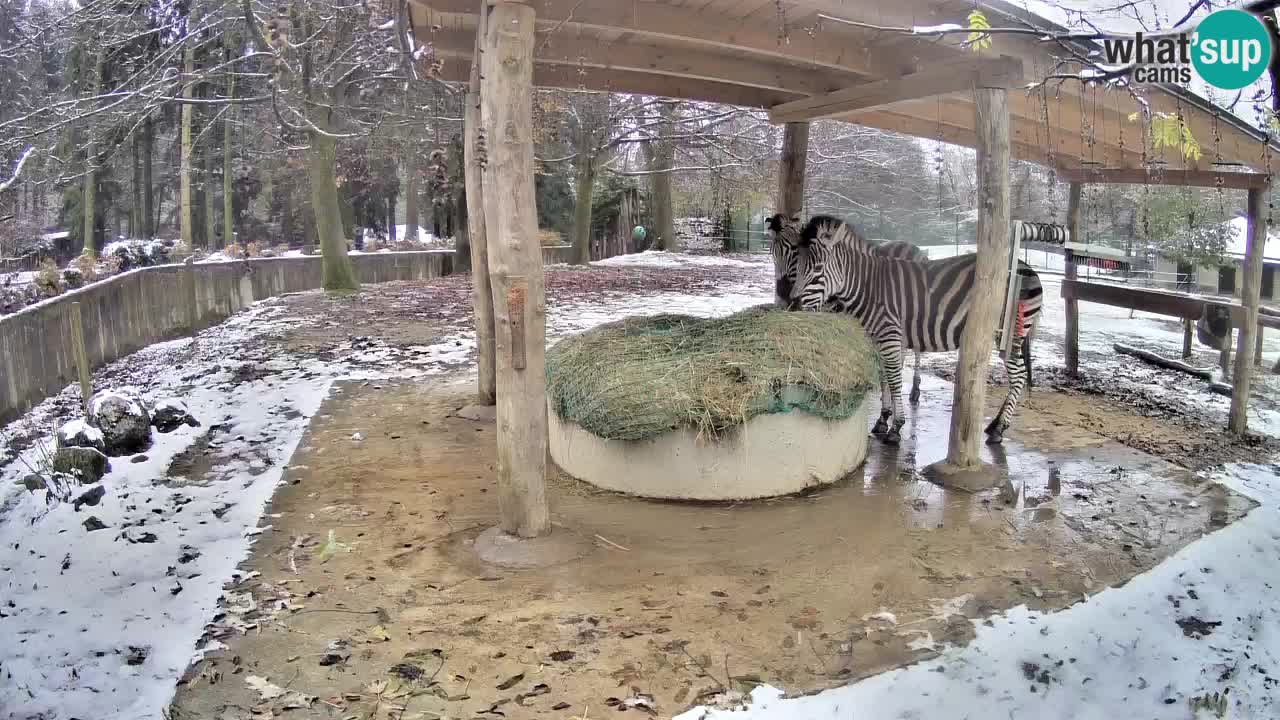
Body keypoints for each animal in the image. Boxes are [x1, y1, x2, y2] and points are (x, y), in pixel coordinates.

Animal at [768, 211, 1039, 443]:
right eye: (774, 253)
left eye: (816, 268)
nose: (791, 303)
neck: (867, 286)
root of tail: (1027, 266)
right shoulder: (877, 337)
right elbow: (885, 377)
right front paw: (884, 421)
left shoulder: (889, 335)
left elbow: (894, 378)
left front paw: (895, 427)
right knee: (1018, 375)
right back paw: (994, 425)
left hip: (1009, 334)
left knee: (1018, 376)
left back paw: (999, 429)